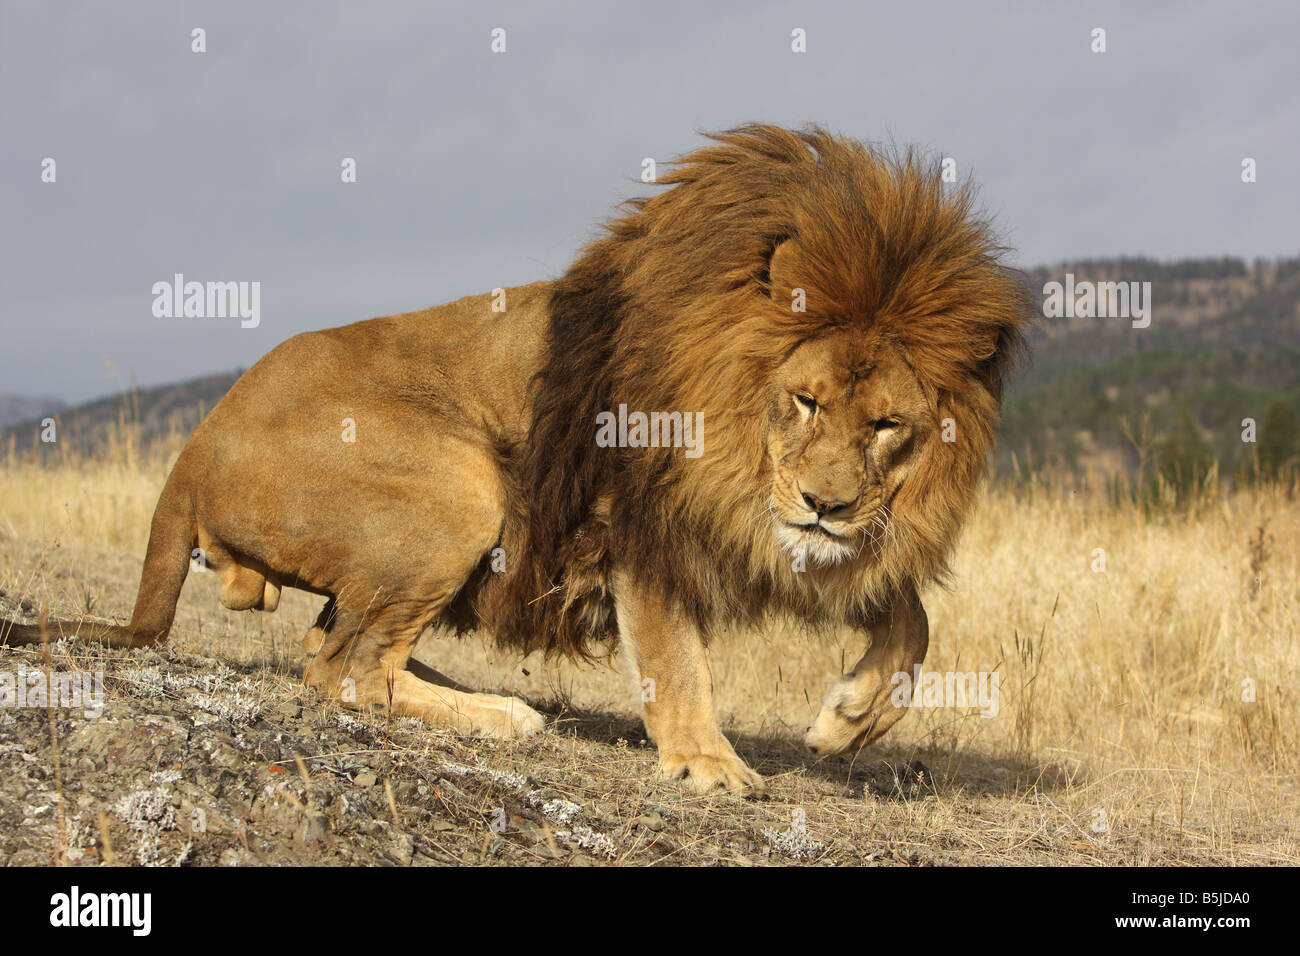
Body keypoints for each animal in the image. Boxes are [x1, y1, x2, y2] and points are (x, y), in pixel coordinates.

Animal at [3, 125, 1028, 795]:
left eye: (888, 424)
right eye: (808, 400)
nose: (825, 503)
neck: (736, 427)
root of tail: (195, 445)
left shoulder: (808, 530)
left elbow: (912, 622)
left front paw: (845, 721)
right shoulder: (645, 522)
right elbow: (678, 660)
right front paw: (710, 763)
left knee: (338, 644)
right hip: (464, 486)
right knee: (341, 672)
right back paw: (503, 715)